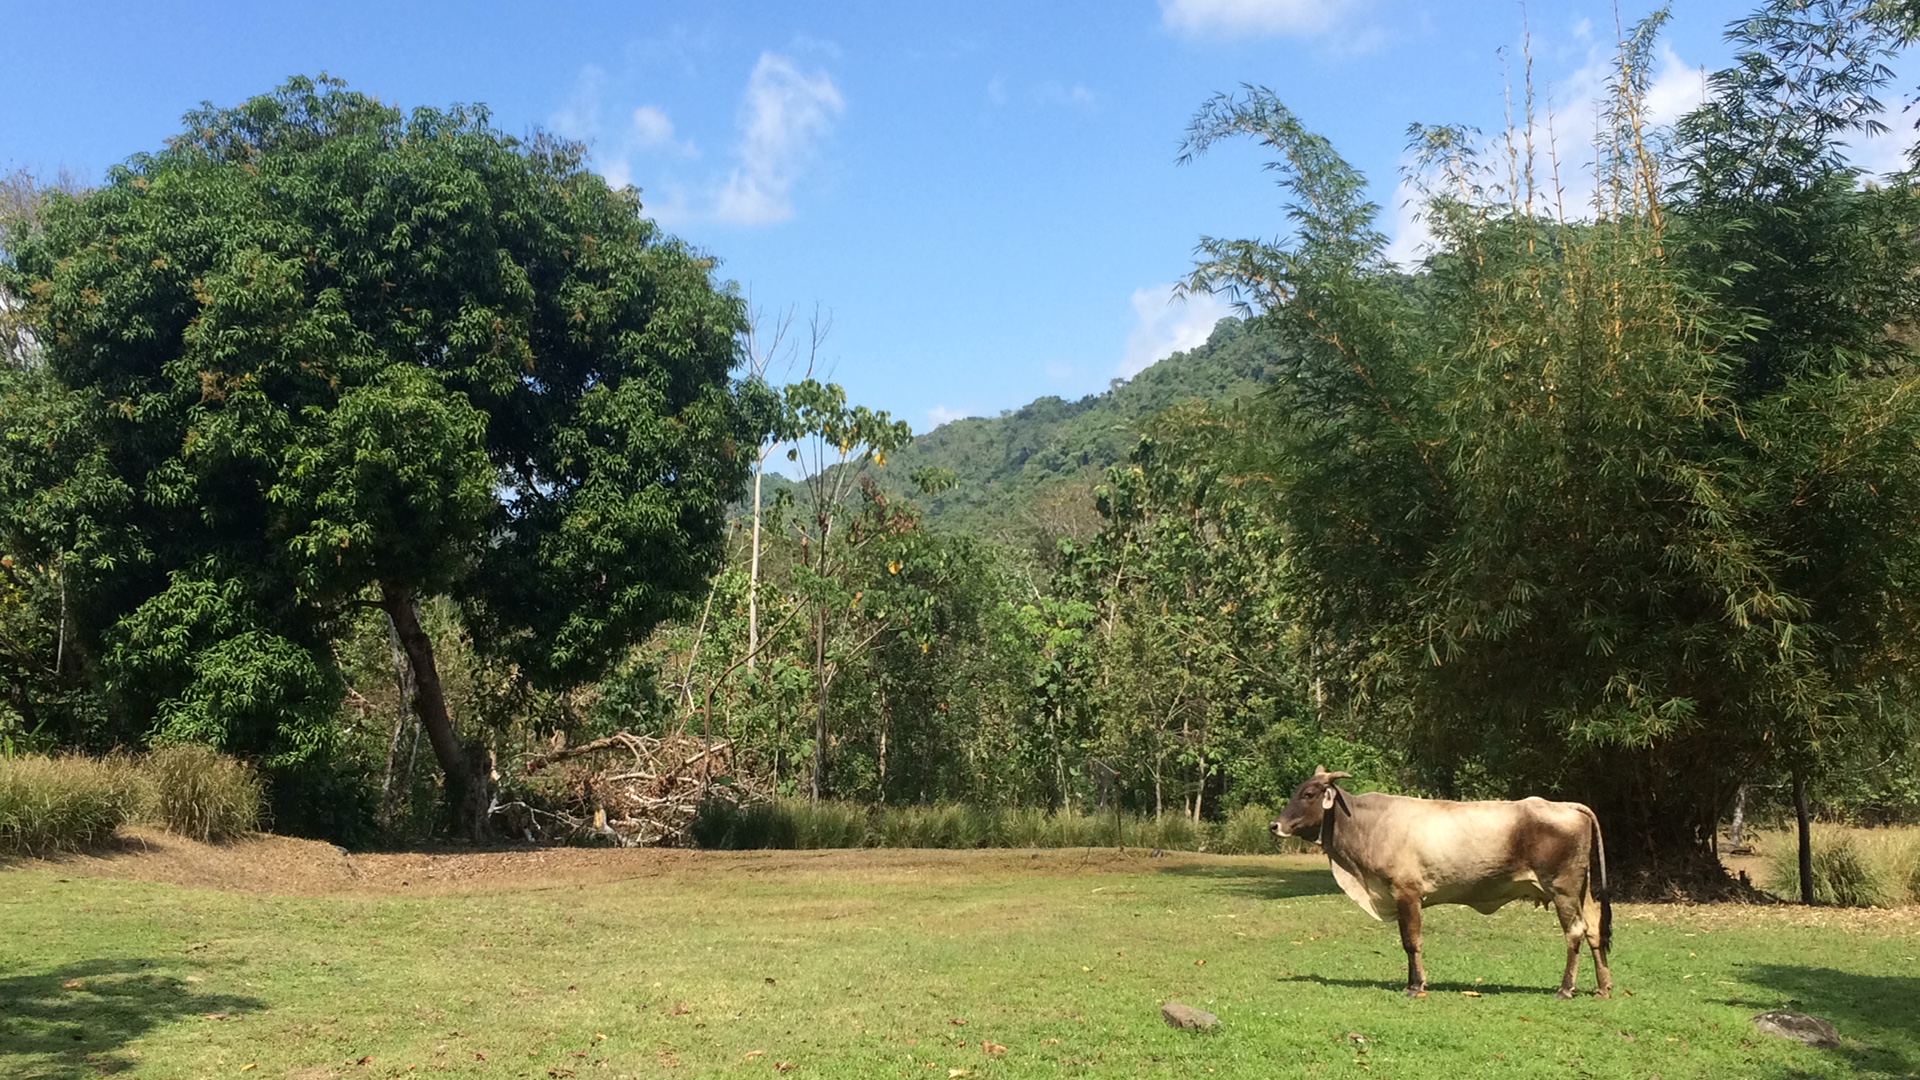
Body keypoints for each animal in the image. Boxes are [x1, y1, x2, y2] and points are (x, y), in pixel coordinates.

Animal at [1282, 760, 1612, 999]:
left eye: (1308, 794)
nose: (1276, 825)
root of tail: (1566, 805)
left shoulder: (1407, 892)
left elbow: (1411, 941)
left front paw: (1416, 986)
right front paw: (1412, 982)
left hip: (1562, 889)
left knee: (1575, 932)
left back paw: (1565, 989)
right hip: (1581, 891)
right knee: (1594, 929)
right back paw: (1603, 987)